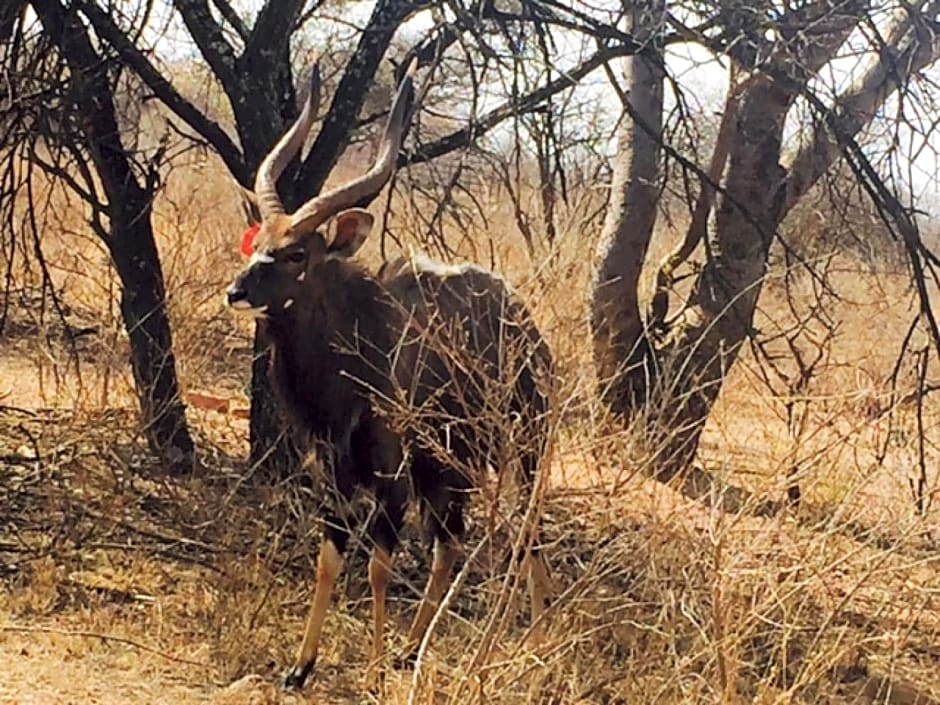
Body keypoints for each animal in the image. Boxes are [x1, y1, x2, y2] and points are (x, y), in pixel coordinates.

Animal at [226, 60, 552, 688]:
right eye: (259, 244)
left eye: (297, 253)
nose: (236, 291)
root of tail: (532, 332)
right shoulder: (334, 475)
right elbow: (330, 558)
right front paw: (301, 666)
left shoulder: (390, 481)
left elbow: (377, 567)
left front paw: (373, 673)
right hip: (449, 472)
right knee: (452, 543)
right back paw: (412, 647)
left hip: (518, 452)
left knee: (523, 535)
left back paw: (531, 640)